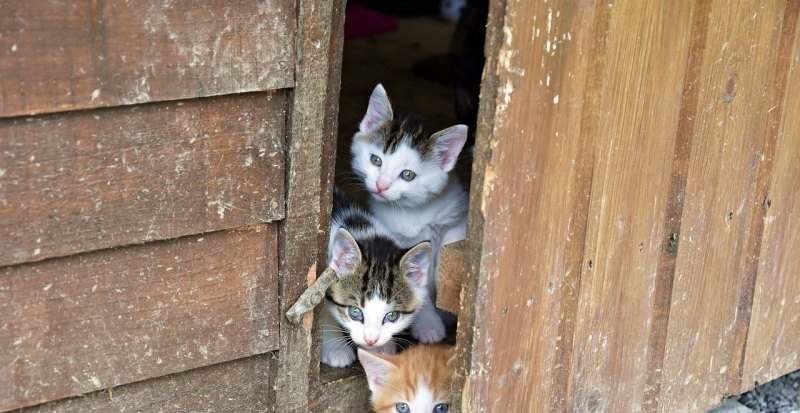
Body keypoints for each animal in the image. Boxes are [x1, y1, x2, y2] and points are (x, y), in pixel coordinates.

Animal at [350, 83, 468, 342]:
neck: (411, 211)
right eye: (375, 160)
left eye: (408, 175)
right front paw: (429, 325)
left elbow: (449, 253)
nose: (381, 186)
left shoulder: (456, 216)